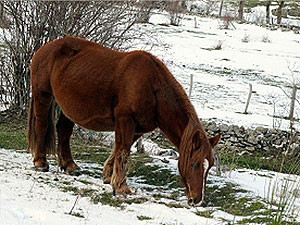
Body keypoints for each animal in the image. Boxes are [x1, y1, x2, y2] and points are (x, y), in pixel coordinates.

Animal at [27, 37, 220, 207]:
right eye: (194, 164)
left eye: (209, 167)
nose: (197, 200)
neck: (152, 87)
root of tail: (44, 49)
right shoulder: (125, 120)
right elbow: (123, 150)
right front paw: (121, 187)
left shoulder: (138, 128)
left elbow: (120, 149)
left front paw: (108, 175)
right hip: (43, 95)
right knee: (42, 125)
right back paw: (40, 163)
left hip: (69, 107)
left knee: (64, 130)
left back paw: (70, 166)